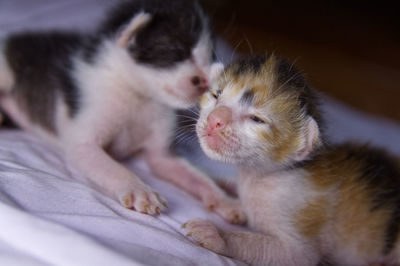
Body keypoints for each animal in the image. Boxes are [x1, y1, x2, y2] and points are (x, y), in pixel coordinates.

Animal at [0, 0, 244, 222]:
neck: (138, 94)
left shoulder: (161, 155)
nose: (207, 82)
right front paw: (139, 190)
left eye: (211, 57)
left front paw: (224, 200)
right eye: (177, 50)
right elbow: (112, 167)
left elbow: (194, 175)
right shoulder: (84, 142)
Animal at [183, 55, 400, 264]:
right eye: (216, 95)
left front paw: (216, 235)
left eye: (257, 119)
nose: (215, 119)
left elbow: (293, 254)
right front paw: (217, 188)